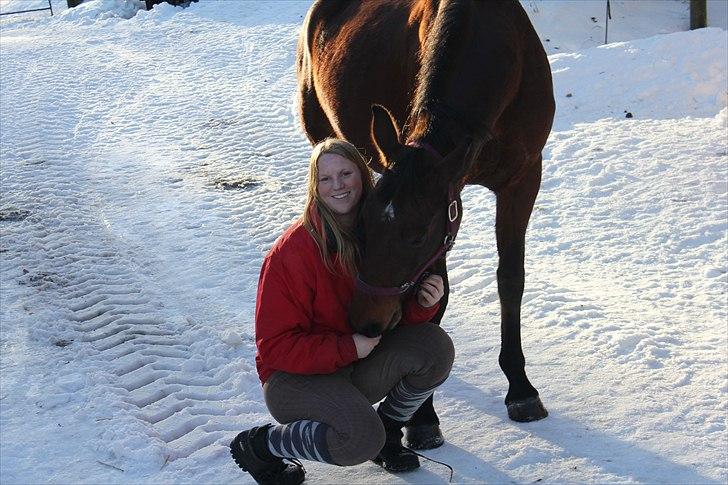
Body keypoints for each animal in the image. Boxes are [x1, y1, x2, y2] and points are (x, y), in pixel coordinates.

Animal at [294, 0, 552, 446]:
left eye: (415, 236)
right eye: (362, 226)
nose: (365, 321)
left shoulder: (522, 180)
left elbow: (510, 280)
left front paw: (520, 388)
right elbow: (437, 299)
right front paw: (423, 416)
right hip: (325, 137)